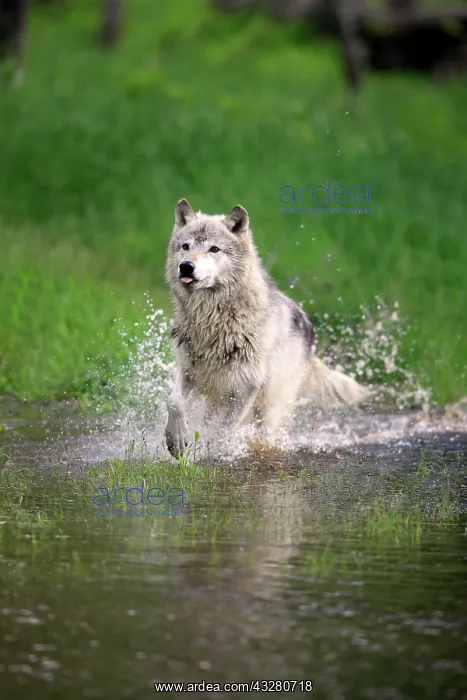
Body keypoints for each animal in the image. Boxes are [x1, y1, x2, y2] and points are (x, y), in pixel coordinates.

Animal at [164, 199, 370, 457]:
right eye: (185, 246)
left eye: (214, 249)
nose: (186, 266)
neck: (214, 322)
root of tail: (309, 331)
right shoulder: (189, 370)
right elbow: (174, 402)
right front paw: (176, 440)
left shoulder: (246, 389)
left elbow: (221, 432)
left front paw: (212, 453)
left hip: (269, 409)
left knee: (265, 434)